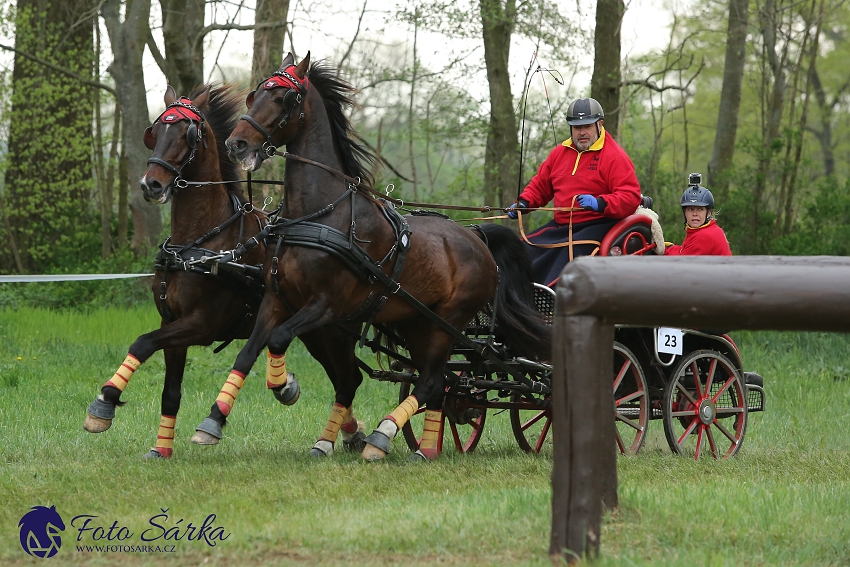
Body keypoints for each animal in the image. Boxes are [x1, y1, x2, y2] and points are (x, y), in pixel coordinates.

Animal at [82, 83, 302, 458]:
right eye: (154, 132)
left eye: (188, 133)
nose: (151, 185)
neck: (197, 244)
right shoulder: (171, 321)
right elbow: (170, 390)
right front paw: (161, 449)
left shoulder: (201, 325)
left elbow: (142, 343)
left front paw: (105, 402)